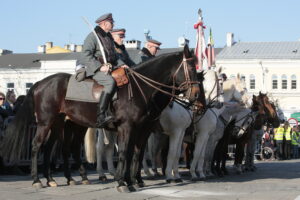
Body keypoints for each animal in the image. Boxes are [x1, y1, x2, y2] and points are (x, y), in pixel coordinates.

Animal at [1, 44, 203, 191]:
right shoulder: (129, 128)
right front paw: (123, 182)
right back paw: (37, 180)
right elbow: (125, 153)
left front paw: (131, 180)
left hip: (62, 124)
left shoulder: (140, 129)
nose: (197, 98)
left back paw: (55, 179)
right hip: (45, 122)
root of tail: (40, 83)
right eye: (190, 67)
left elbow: (134, 154)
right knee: (37, 146)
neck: (141, 88)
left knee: (56, 148)